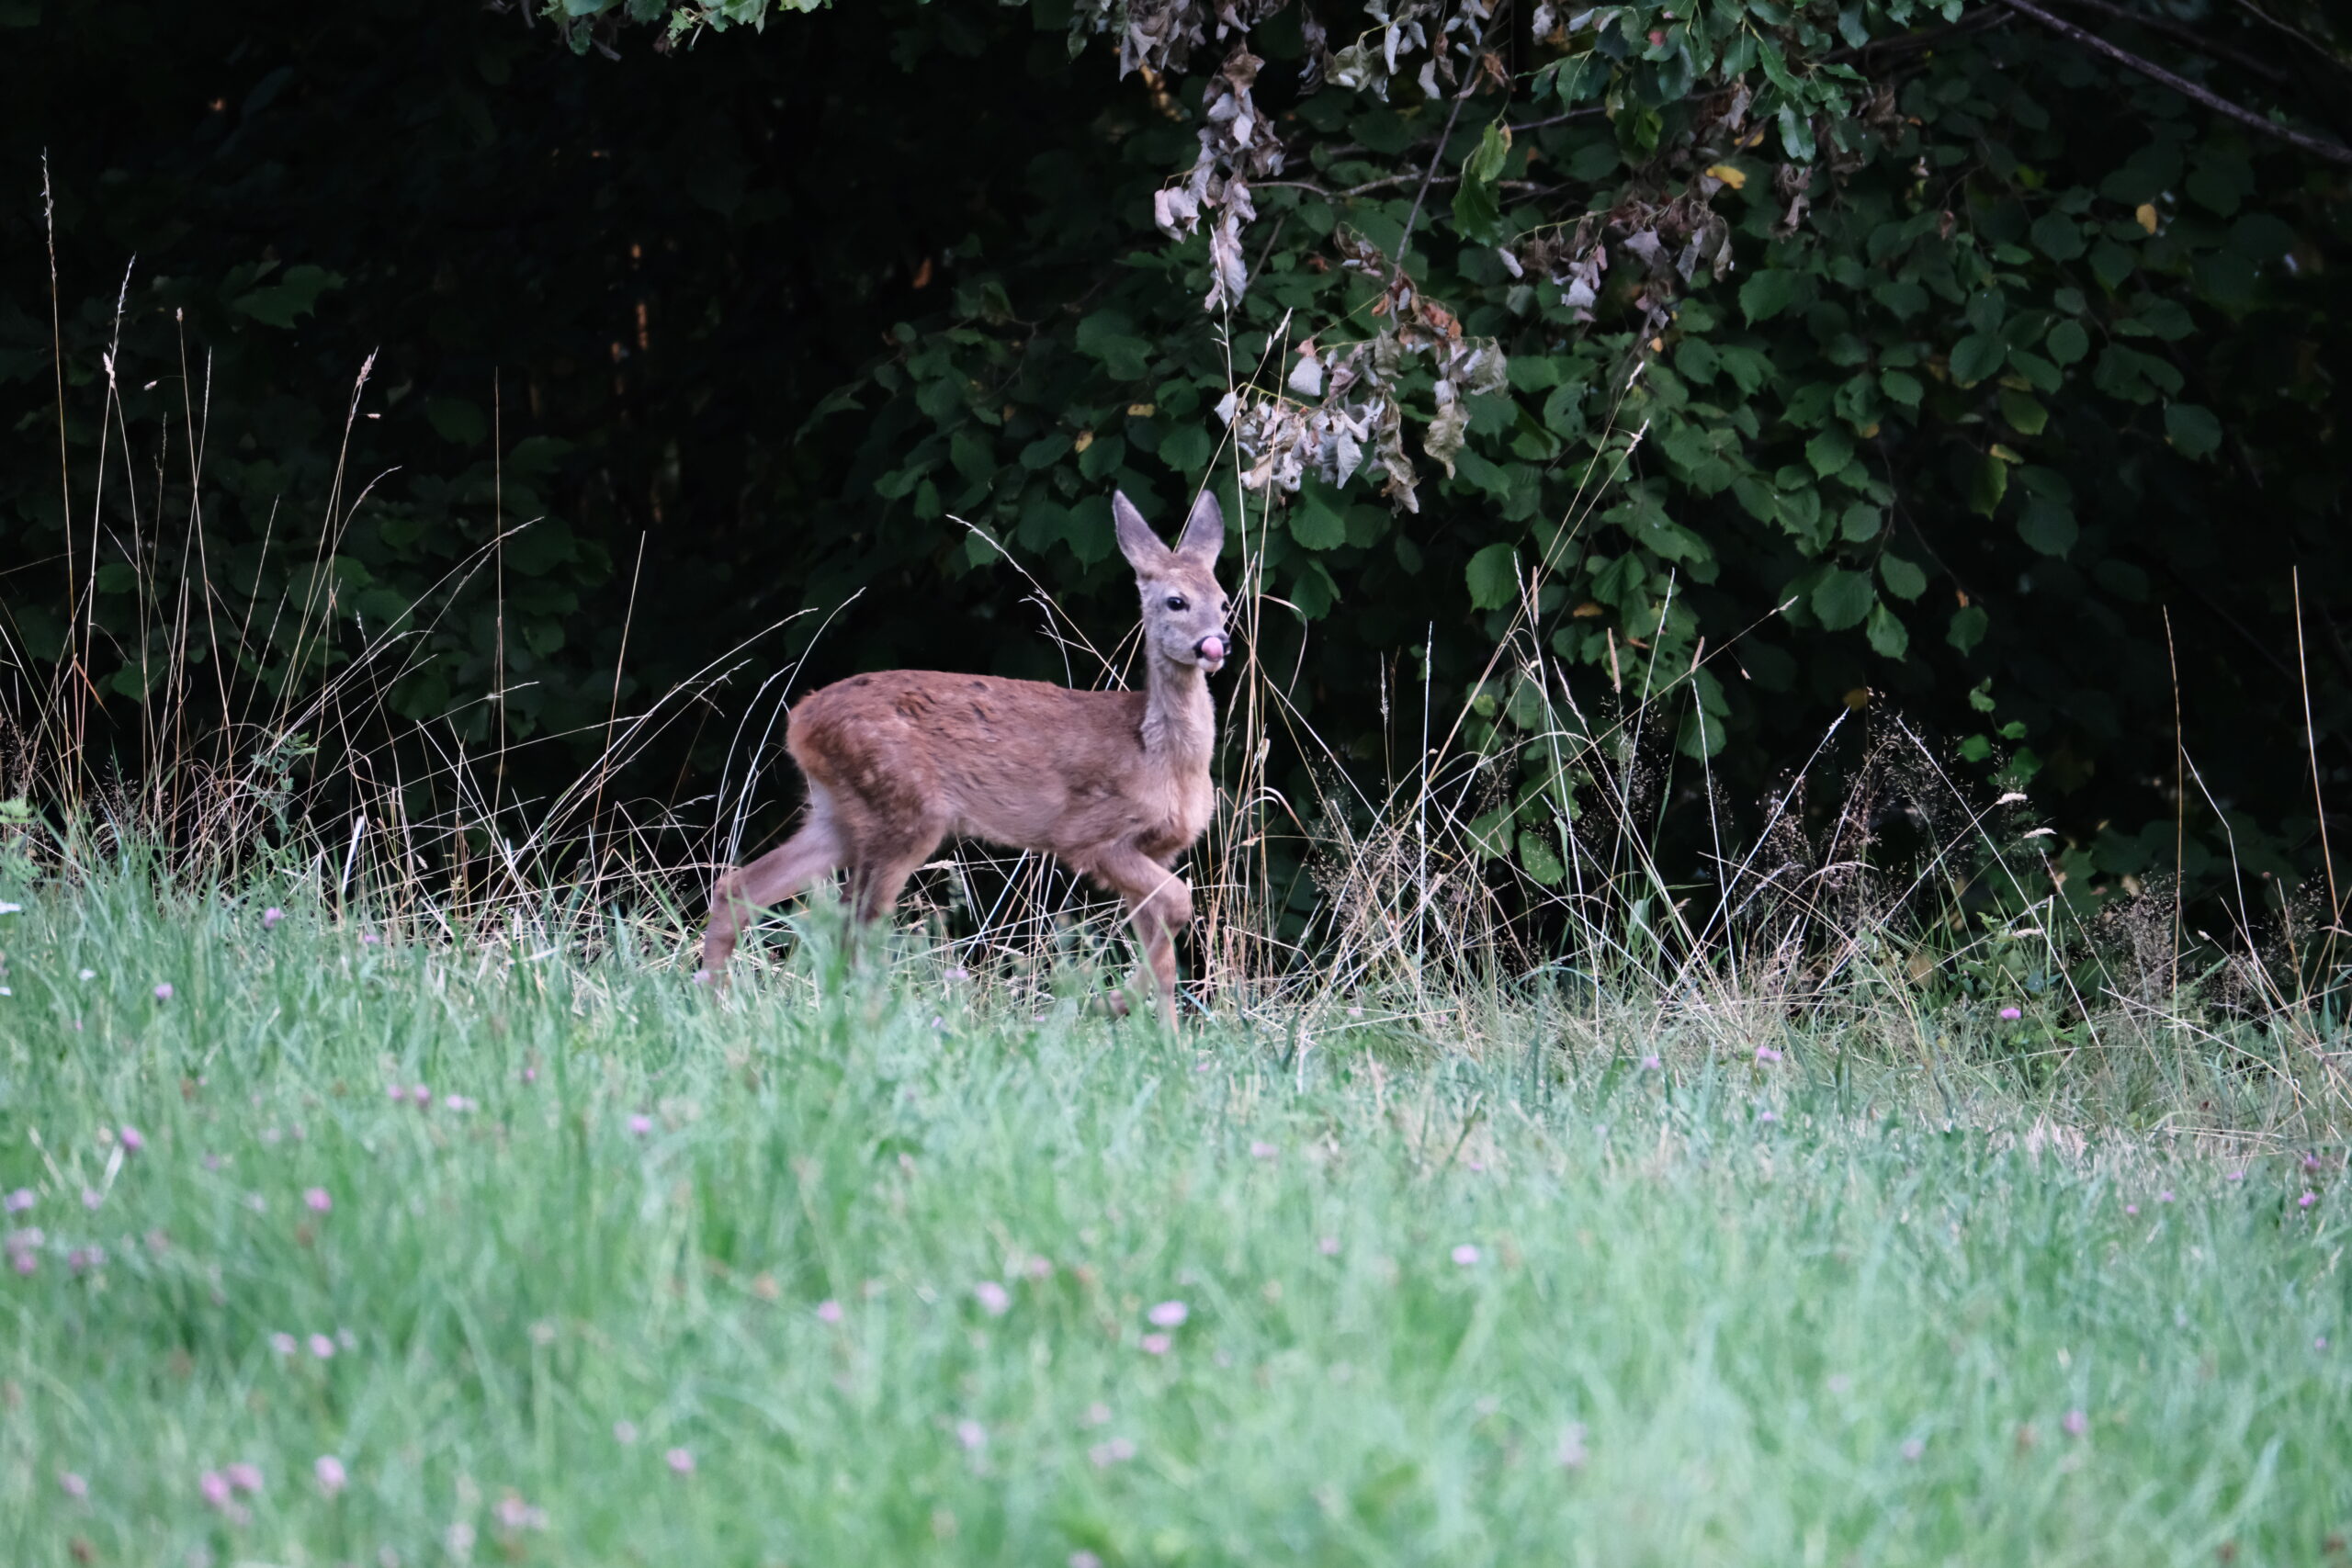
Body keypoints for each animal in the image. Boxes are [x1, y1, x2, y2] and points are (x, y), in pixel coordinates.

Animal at [699, 489, 1231, 1028]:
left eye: (1224, 602)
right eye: (1176, 601)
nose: (1216, 644)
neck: (1160, 755)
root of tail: (800, 720)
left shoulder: (1157, 848)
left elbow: (1161, 951)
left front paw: (1161, 1034)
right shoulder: (1090, 836)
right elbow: (1178, 903)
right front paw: (1107, 1004)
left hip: (840, 813)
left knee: (740, 888)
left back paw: (714, 1003)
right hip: (905, 809)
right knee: (856, 924)